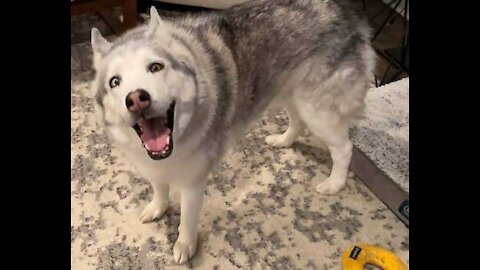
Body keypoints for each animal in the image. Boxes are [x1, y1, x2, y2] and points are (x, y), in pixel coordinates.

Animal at [90, 0, 376, 262]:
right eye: (115, 82)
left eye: (155, 67)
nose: (137, 99)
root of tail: (344, 8)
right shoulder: (154, 167)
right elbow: (160, 189)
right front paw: (158, 207)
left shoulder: (193, 184)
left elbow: (187, 220)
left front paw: (185, 245)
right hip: (290, 93)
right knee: (297, 121)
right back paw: (284, 140)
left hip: (317, 111)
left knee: (344, 149)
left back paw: (334, 183)